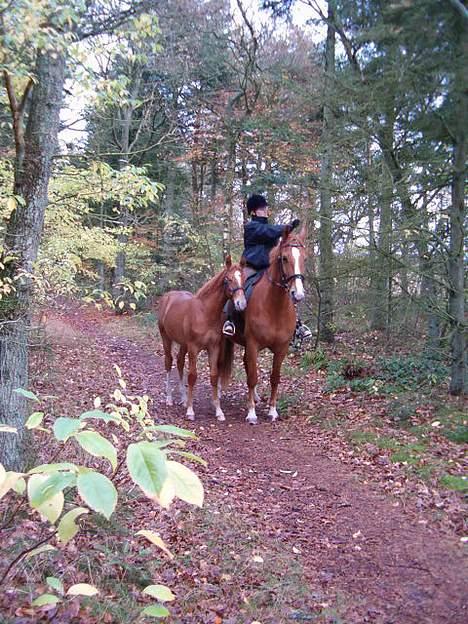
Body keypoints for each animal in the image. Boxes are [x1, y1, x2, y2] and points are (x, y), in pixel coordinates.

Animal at [158, 256, 247, 422]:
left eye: (243, 278)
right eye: (228, 279)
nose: (241, 303)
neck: (205, 312)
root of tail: (167, 297)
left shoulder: (214, 348)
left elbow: (214, 376)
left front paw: (219, 411)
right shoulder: (194, 348)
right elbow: (193, 376)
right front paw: (190, 411)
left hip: (183, 344)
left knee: (179, 362)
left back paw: (183, 399)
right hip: (166, 339)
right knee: (168, 362)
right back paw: (169, 398)